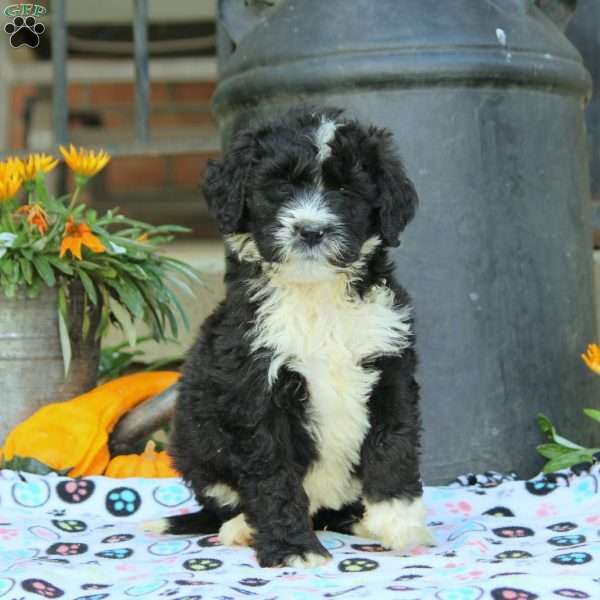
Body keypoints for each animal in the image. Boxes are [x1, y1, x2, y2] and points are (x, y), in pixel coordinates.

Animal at [148, 106, 434, 568]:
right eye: (280, 187)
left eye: (344, 189)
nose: (311, 230)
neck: (316, 295)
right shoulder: (254, 388)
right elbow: (272, 475)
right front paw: (292, 549)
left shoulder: (389, 364)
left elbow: (394, 442)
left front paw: (399, 521)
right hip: (195, 444)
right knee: (225, 501)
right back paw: (241, 528)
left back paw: (358, 520)